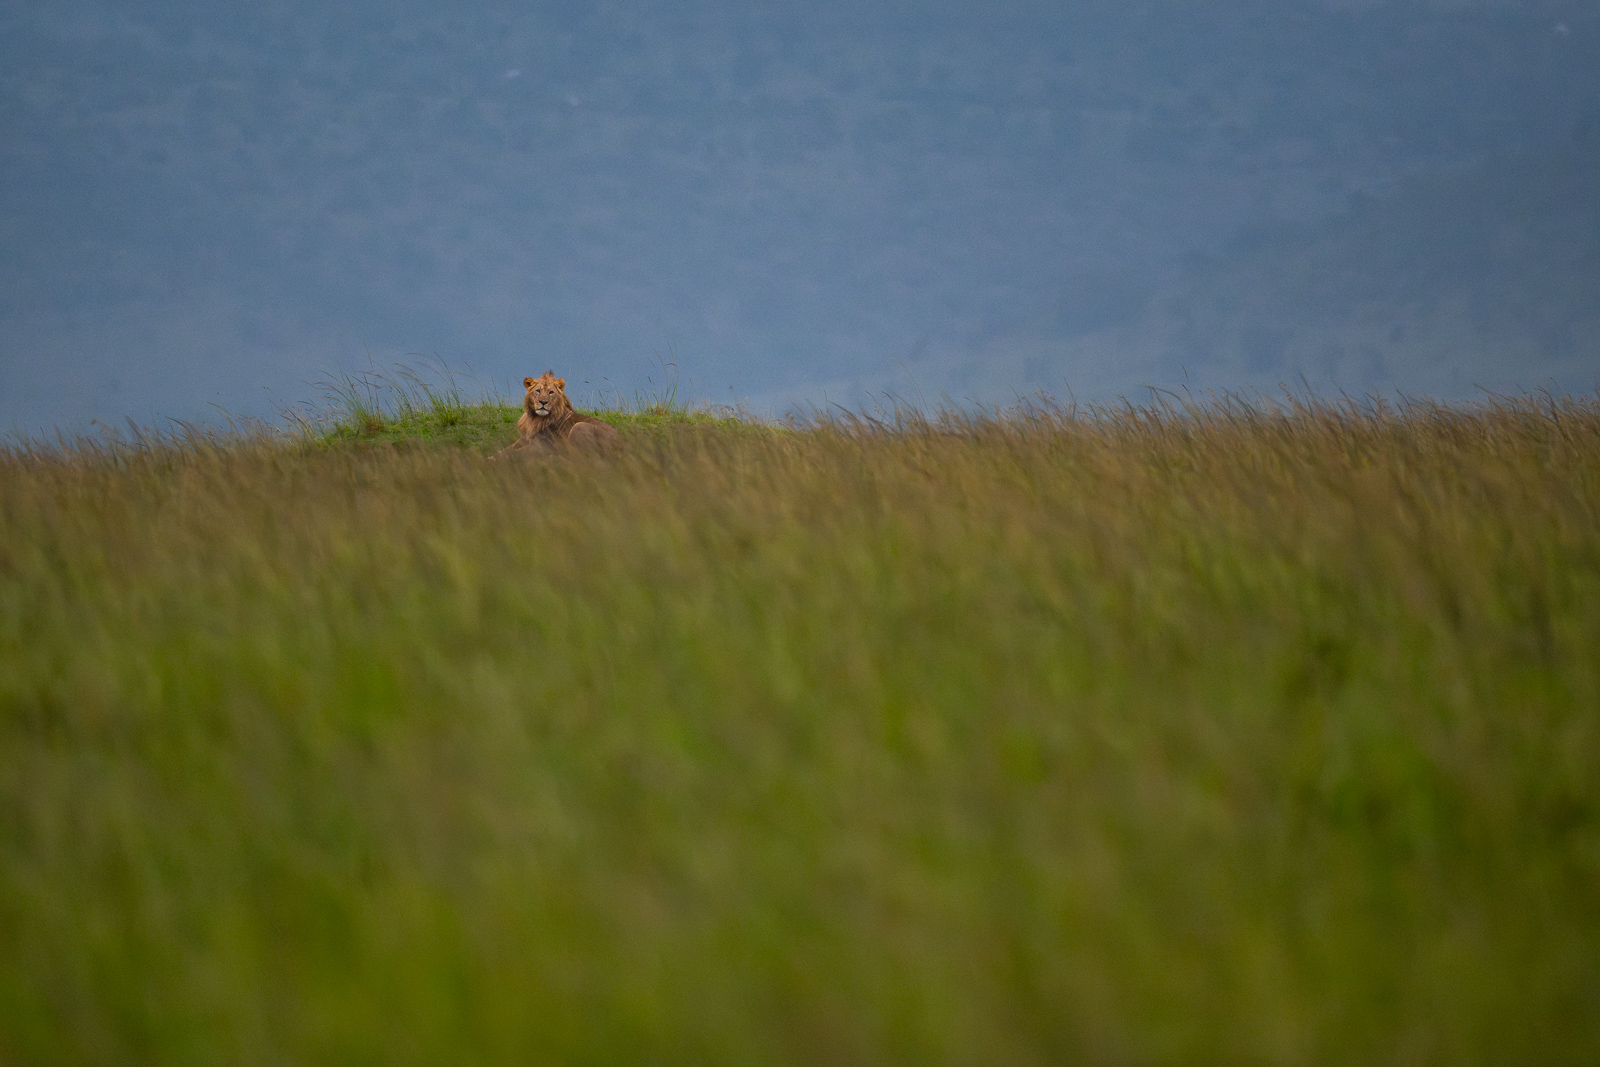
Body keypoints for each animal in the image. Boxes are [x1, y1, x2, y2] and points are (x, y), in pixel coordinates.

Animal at [490, 371, 620, 459]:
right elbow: (505, 450)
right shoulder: (524, 439)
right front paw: (490, 457)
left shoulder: (540, 446)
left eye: (551, 392)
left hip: (579, 426)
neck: (533, 419)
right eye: (538, 391)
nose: (543, 402)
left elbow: (513, 453)